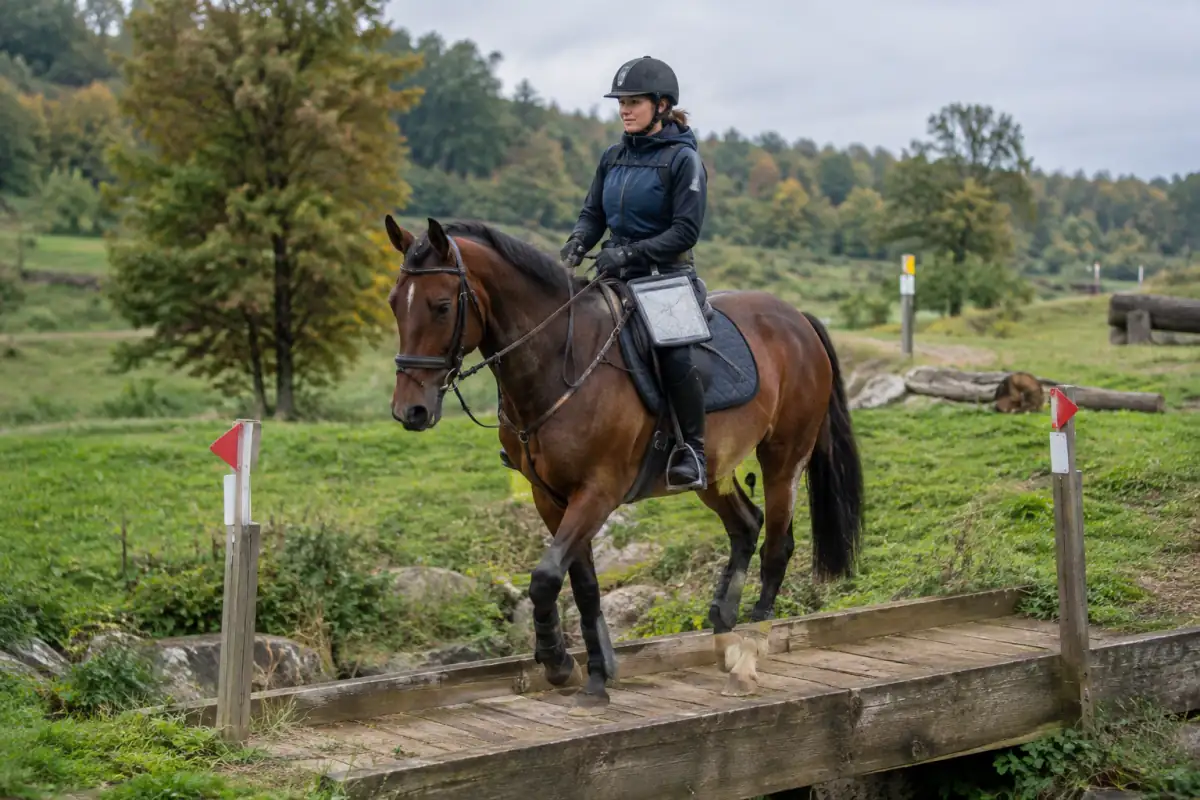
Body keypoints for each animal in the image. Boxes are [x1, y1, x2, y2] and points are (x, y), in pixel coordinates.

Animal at [384, 215, 864, 707]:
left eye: (442, 306)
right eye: (394, 305)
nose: (410, 411)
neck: (561, 361)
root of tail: (796, 317)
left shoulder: (598, 490)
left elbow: (545, 576)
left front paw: (558, 664)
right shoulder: (549, 496)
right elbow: (581, 583)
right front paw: (595, 672)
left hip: (784, 457)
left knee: (777, 546)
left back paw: (748, 651)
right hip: (714, 470)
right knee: (746, 525)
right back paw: (723, 634)